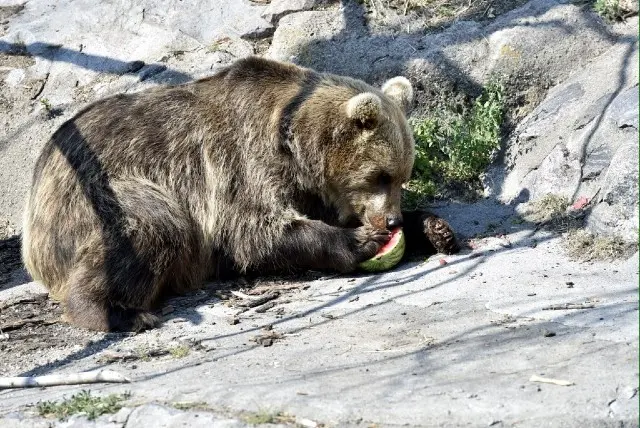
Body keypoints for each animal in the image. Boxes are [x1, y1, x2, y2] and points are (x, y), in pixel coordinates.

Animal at [22, 56, 458, 332]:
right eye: (379, 175)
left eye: (402, 176)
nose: (391, 219)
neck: (295, 147)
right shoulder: (240, 163)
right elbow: (255, 231)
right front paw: (360, 240)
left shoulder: (308, 187)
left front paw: (434, 227)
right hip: (98, 192)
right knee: (151, 226)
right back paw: (119, 314)